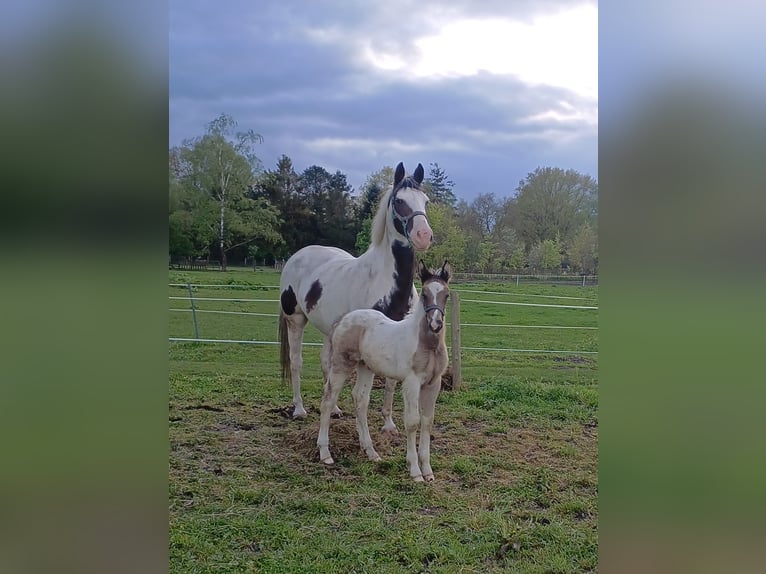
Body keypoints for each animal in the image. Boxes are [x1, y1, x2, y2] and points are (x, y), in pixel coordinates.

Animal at [316, 264, 450, 484]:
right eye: (424, 294)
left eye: (446, 295)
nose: (435, 324)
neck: (427, 345)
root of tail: (343, 320)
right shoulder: (412, 382)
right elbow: (412, 422)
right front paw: (415, 471)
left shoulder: (433, 383)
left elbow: (427, 422)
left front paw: (428, 471)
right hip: (341, 365)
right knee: (328, 400)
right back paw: (325, 453)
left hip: (365, 367)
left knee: (360, 400)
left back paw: (370, 451)